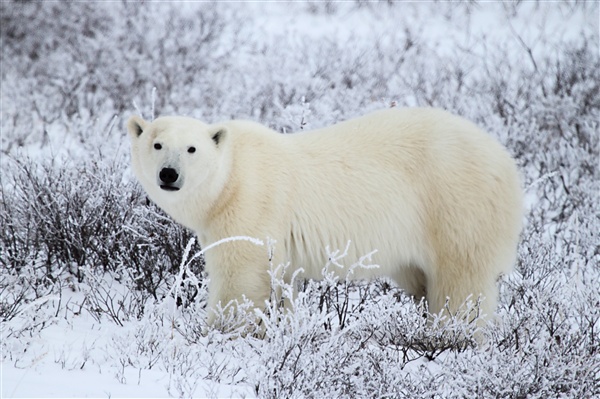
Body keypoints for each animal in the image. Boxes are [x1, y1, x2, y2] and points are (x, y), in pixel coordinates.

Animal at [129, 108, 524, 330]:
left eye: (192, 149)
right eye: (157, 144)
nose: (168, 174)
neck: (231, 178)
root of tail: (506, 161)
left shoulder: (252, 204)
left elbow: (241, 278)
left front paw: (219, 332)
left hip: (456, 206)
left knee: (461, 283)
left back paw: (451, 336)